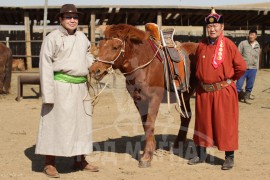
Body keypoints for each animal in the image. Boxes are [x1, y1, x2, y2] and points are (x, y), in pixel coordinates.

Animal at [89, 23, 197, 167]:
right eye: (100, 45)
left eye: (115, 47)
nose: (94, 70)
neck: (144, 66)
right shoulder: (139, 101)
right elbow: (145, 125)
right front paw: (149, 152)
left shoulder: (154, 99)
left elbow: (150, 124)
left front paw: (146, 157)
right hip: (185, 96)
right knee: (186, 117)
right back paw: (177, 145)